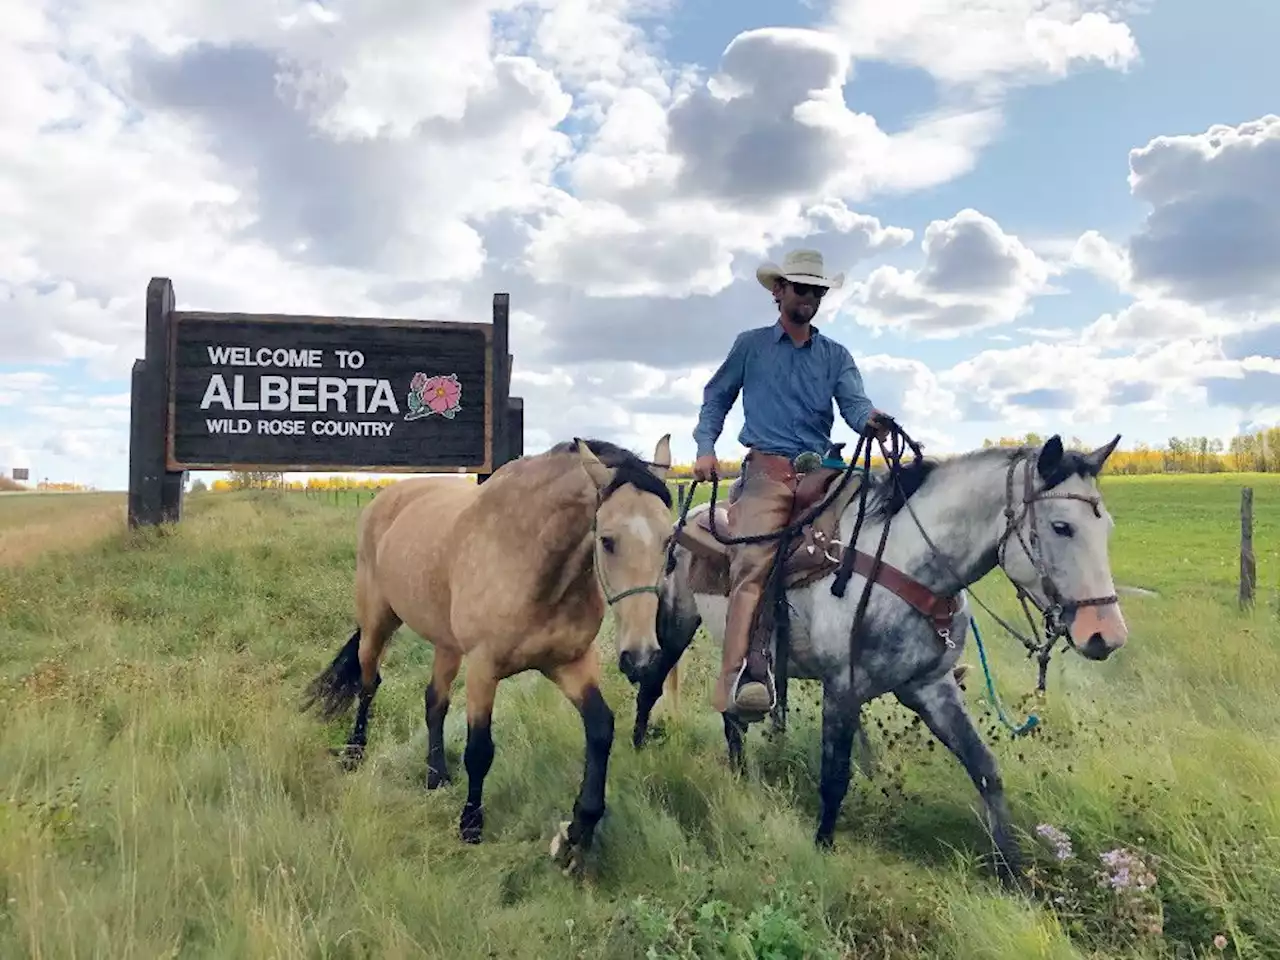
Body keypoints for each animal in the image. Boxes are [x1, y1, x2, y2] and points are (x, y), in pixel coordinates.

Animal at [303, 440, 675, 875]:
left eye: (669, 541)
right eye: (608, 541)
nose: (641, 658)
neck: (531, 562)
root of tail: (385, 499)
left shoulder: (571, 664)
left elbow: (600, 730)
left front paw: (577, 833)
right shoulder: (484, 669)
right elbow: (479, 750)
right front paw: (470, 826)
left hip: (445, 644)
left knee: (434, 701)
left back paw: (435, 776)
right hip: (377, 619)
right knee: (368, 684)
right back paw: (355, 752)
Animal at [634, 432, 1126, 885]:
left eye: (1107, 528)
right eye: (1061, 526)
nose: (1107, 635)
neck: (909, 564)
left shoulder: (931, 686)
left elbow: (985, 769)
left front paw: (1013, 872)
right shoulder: (842, 687)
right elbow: (835, 777)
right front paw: (823, 848)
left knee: (731, 714)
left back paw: (738, 776)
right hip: (677, 623)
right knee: (653, 682)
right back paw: (638, 748)